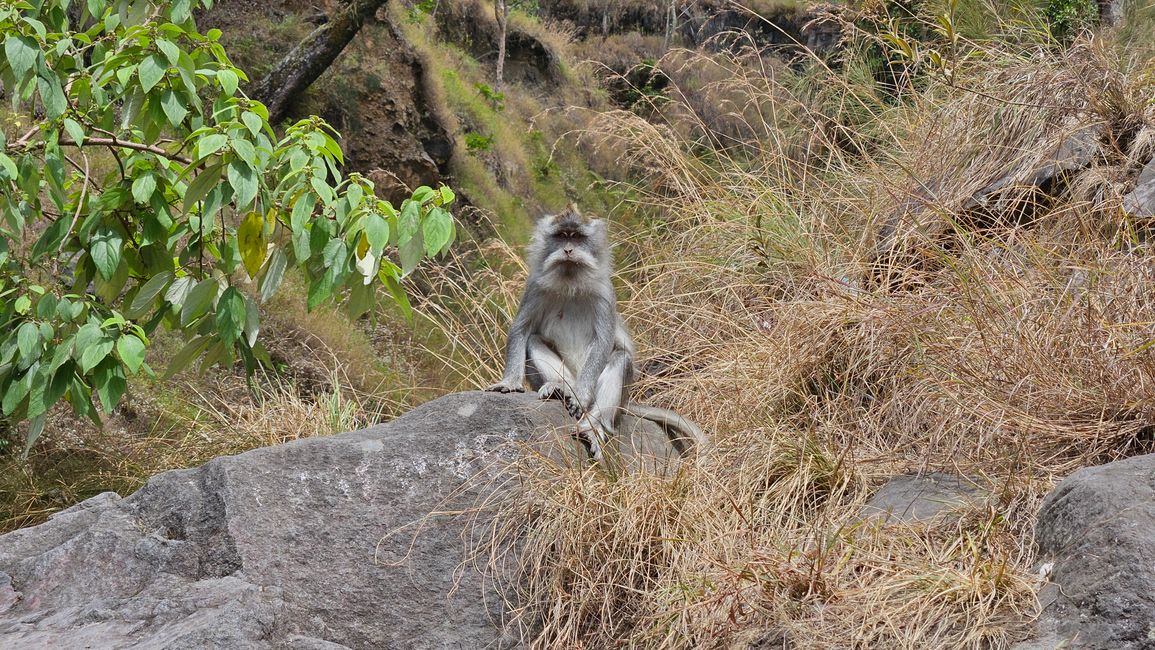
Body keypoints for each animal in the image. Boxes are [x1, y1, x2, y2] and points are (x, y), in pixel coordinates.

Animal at [480, 205, 702, 459]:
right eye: (561, 236)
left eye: (577, 237)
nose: (568, 250)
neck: (570, 281)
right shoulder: (535, 287)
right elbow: (522, 330)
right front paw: (509, 382)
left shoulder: (604, 292)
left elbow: (604, 342)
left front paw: (582, 396)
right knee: (534, 340)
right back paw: (561, 388)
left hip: (618, 395)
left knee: (620, 359)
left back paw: (591, 425)